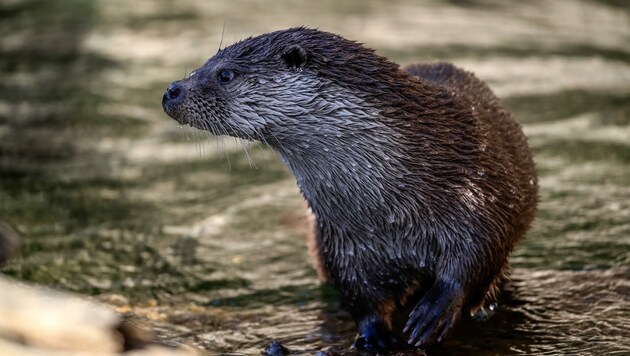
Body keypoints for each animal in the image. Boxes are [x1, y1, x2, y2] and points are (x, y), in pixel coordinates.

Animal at [162, 27, 540, 350]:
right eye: (203, 64)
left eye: (225, 74)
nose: (171, 90)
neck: (389, 211)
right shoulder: (344, 241)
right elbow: (358, 293)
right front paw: (375, 334)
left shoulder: (479, 193)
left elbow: (477, 256)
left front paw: (435, 311)